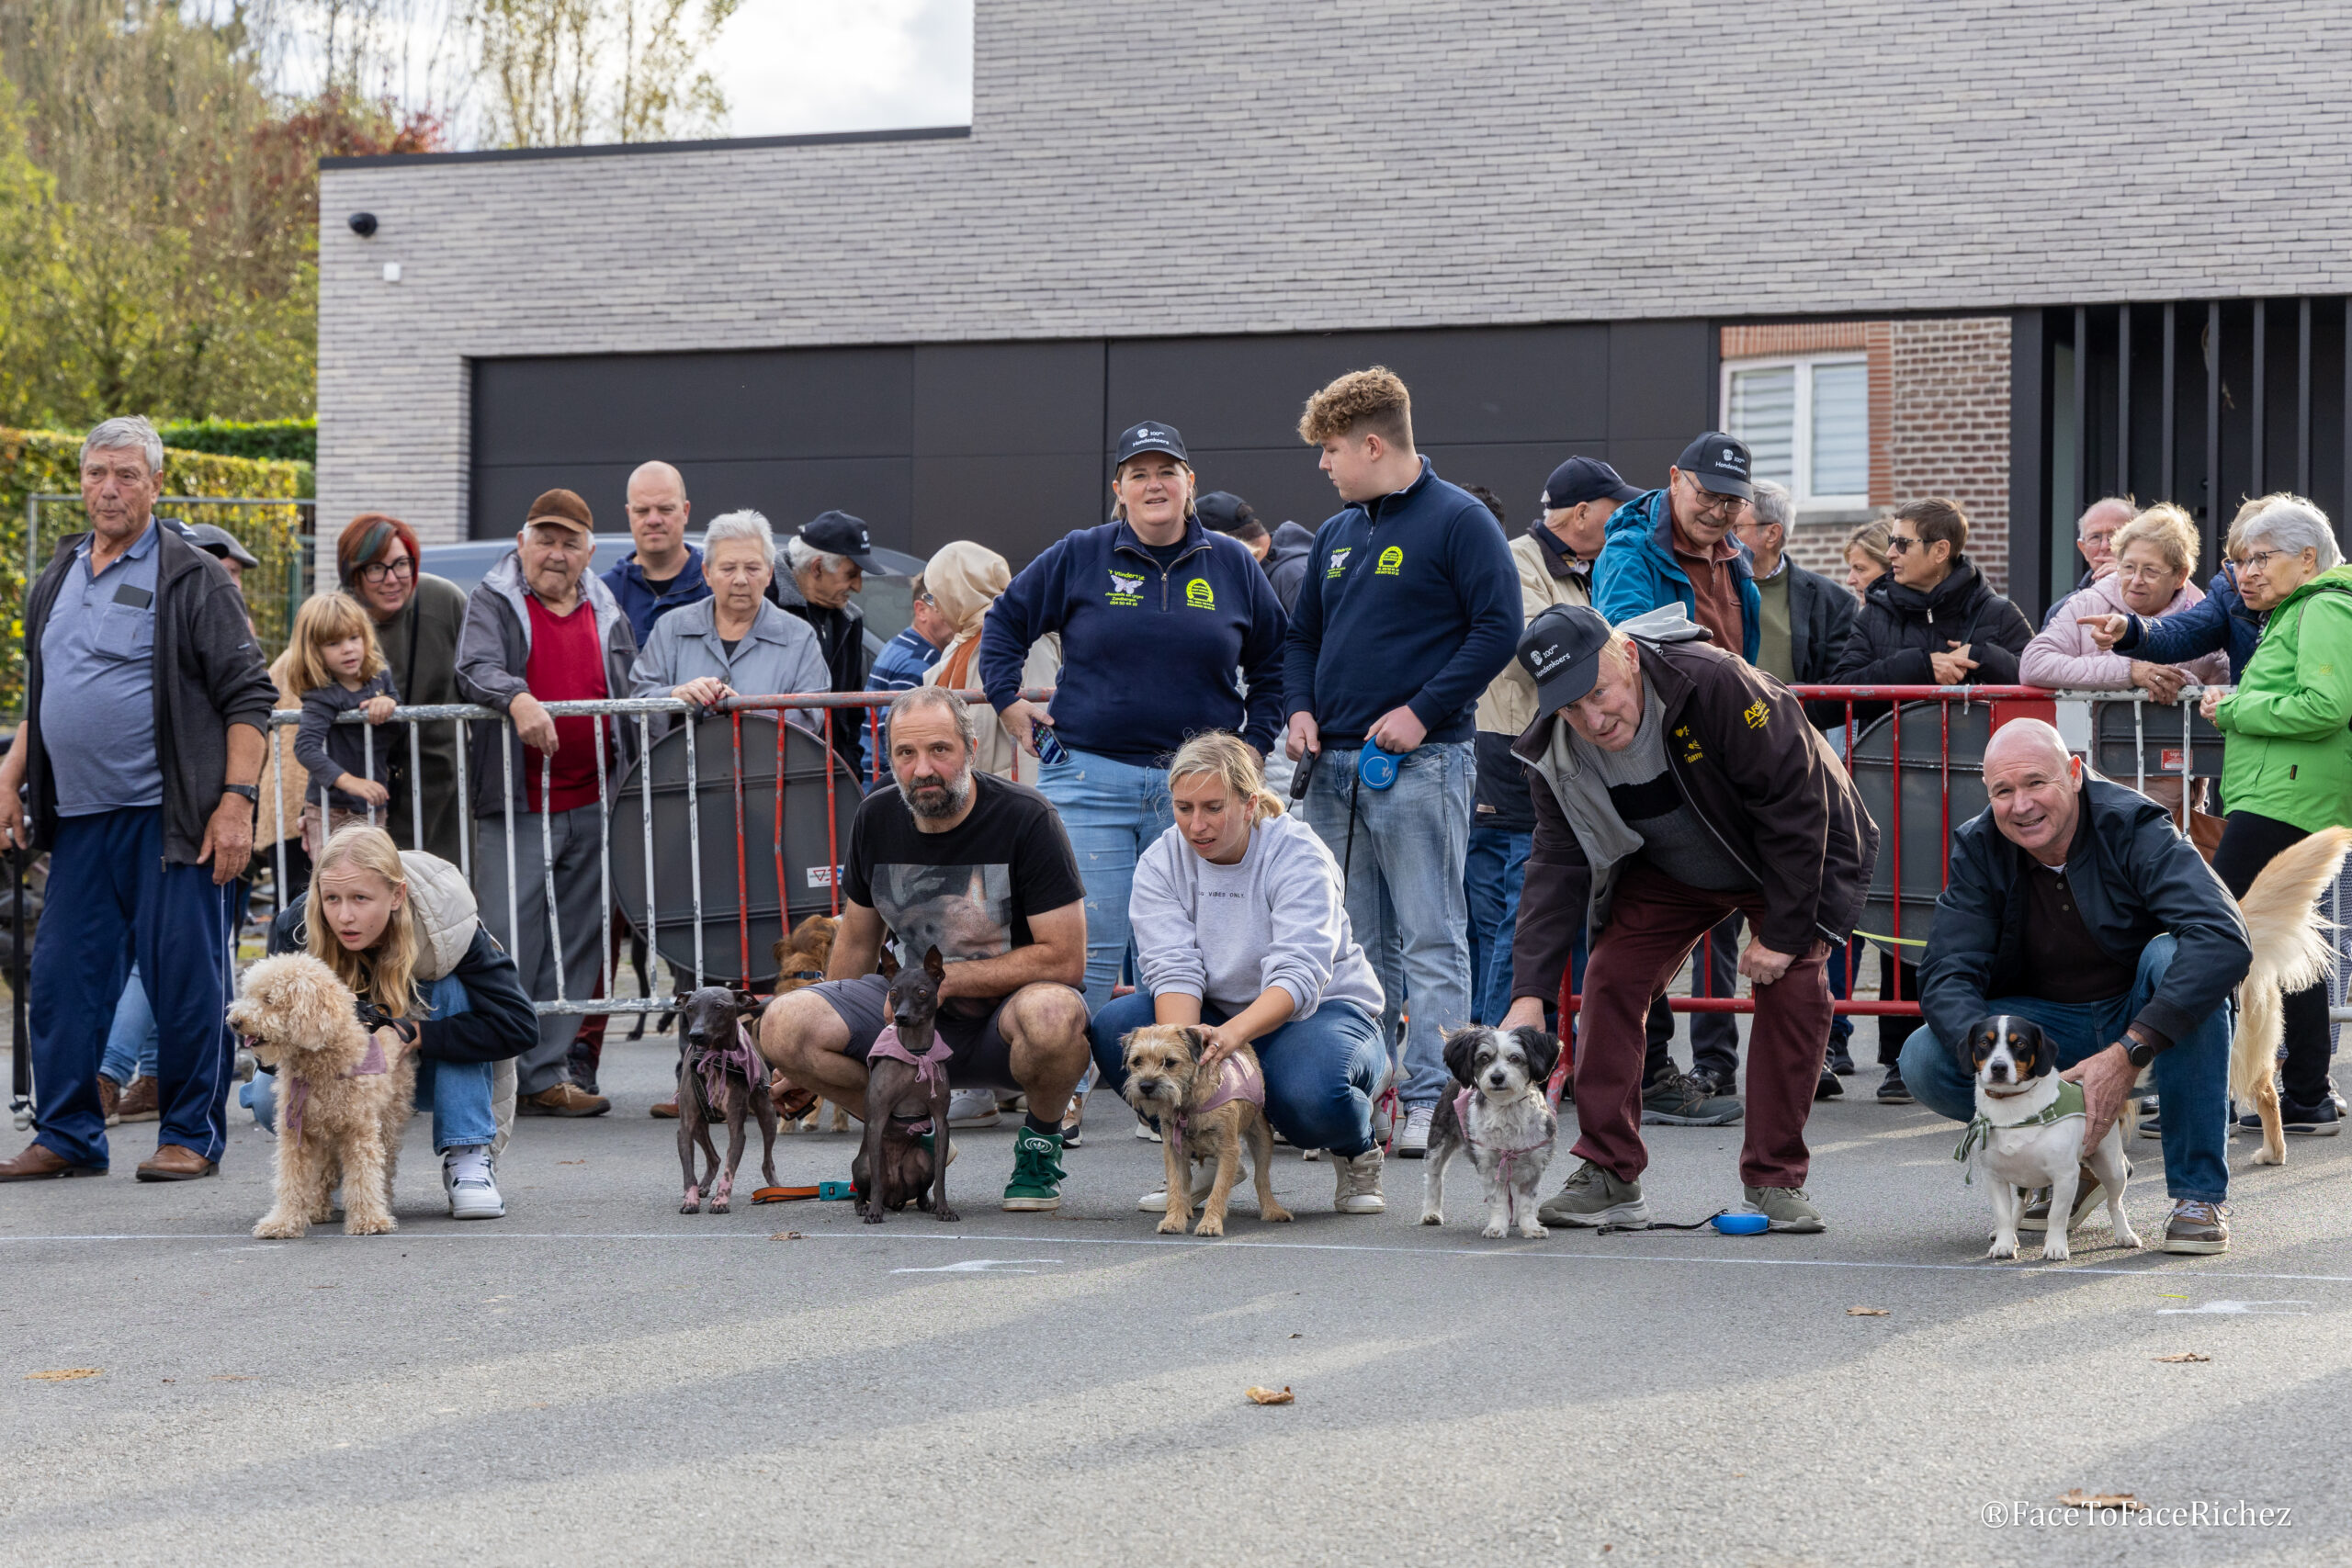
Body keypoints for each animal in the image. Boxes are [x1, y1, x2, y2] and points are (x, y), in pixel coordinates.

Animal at [1114, 1029, 1298, 1241]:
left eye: (1170, 1062)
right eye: (1137, 1061)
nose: (1145, 1085)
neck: (1189, 1104)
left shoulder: (1228, 1149)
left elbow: (1219, 1189)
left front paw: (1210, 1224)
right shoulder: (1173, 1149)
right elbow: (1176, 1186)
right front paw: (1173, 1220)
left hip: (1261, 1137)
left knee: (1261, 1178)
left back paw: (1272, 1210)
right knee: (1187, 1180)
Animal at [1411, 1029, 1561, 1241]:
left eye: (1515, 1058)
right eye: (1484, 1058)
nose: (1497, 1077)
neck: (1506, 1111)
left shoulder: (1534, 1163)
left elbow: (1527, 1202)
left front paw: (1531, 1227)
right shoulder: (1488, 1164)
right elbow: (1497, 1199)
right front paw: (1497, 1226)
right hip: (1438, 1142)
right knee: (1434, 1177)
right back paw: (1431, 1212)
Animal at [1956, 1020, 2144, 1259]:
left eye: (2020, 1043)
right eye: (1983, 1042)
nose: (1998, 1067)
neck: (2013, 1111)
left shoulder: (2065, 1175)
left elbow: (2056, 1215)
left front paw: (2055, 1246)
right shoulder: (1993, 1177)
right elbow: (2003, 1215)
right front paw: (2004, 1244)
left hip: (2112, 1168)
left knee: (2114, 1202)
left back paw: (2124, 1234)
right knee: (2021, 1204)